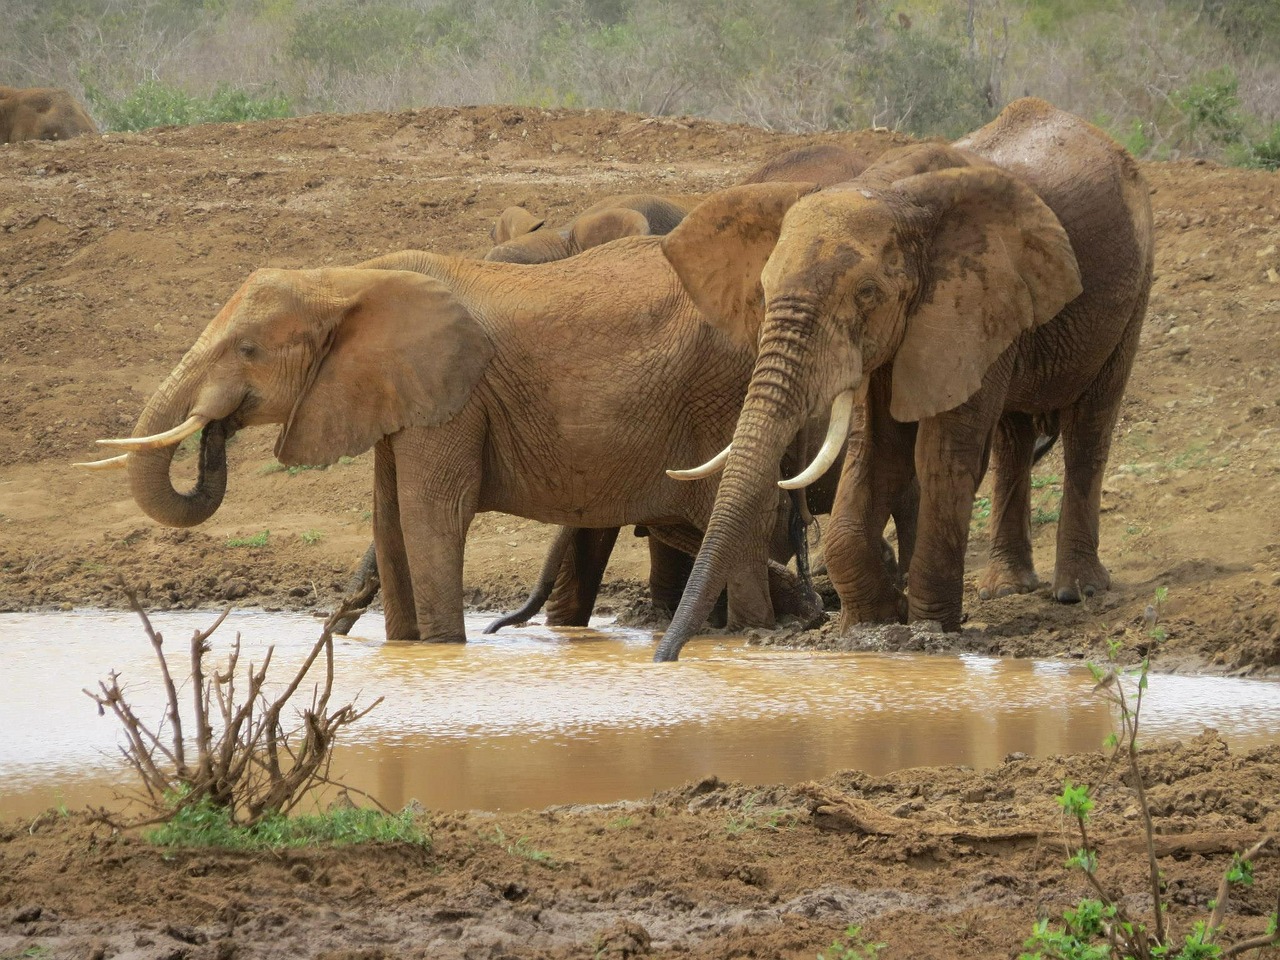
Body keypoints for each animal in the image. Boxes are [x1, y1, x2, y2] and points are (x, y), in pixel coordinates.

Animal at [82, 235, 819, 647]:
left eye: (248, 350)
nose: (214, 433)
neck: (350, 277)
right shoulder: (397, 396)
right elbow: (389, 519)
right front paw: (407, 652)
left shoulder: (453, 397)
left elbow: (429, 513)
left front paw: (442, 650)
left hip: (719, 398)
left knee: (736, 529)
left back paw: (750, 632)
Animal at [655, 101, 1157, 665]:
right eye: (762, 291)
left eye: (868, 293)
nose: (664, 657)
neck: (887, 190)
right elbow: (875, 453)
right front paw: (871, 622)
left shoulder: (968, 300)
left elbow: (941, 455)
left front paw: (929, 631)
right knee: (1012, 435)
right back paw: (1005, 588)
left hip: (1134, 284)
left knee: (1091, 424)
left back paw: (1077, 591)